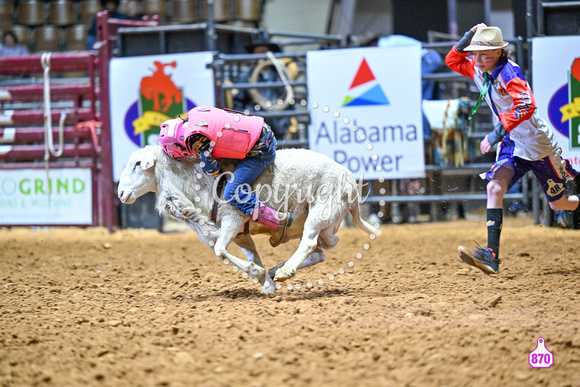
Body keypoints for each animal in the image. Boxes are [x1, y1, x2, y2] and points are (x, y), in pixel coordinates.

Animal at [118, 147, 380, 296]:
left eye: (137, 164)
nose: (120, 193)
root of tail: (351, 180)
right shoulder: (241, 234)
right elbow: (250, 256)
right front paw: (266, 283)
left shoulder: (232, 220)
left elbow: (220, 251)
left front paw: (260, 274)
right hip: (325, 223)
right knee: (322, 250)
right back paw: (278, 270)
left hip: (321, 212)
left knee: (309, 243)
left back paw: (285, 270)